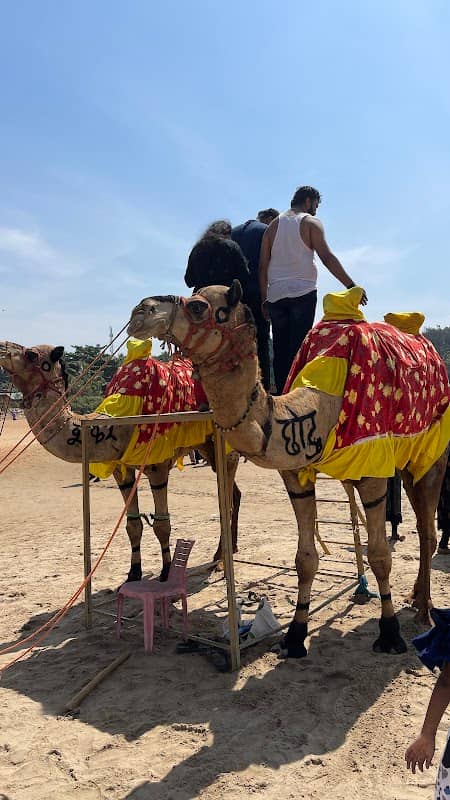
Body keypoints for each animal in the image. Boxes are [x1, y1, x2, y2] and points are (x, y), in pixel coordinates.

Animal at [0, 341, 240, 583]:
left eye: (31, 354)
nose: (2, 347)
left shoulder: (158, 465)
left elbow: (162, 524)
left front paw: (166, 571)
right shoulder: (120, 470)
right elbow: (133, 524)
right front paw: (133, 572)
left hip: (225, 444)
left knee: (226, 502)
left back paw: (221, 562)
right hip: (206, 446)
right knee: (233, 495)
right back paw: (228, 551)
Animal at [127, 281, 450, 658]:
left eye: (197, 306)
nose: (140, 310)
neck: (315, 410)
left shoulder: (372, 469)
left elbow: (380, 554)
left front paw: (390, 634)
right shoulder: (297, 475)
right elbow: (305, 559)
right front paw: (295, 636)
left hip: (432, 454)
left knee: (426, 531)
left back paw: (424, 609)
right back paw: (414, 596)